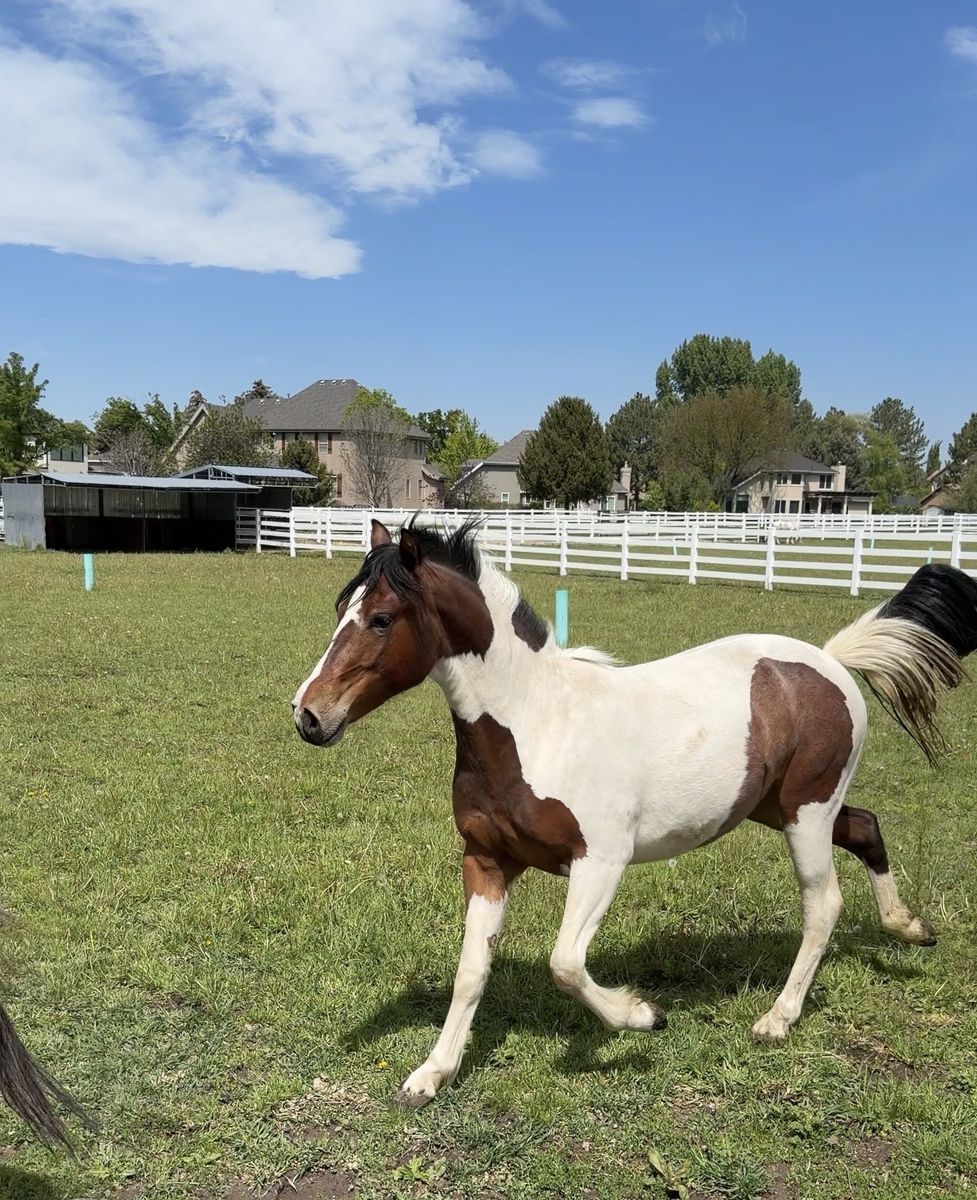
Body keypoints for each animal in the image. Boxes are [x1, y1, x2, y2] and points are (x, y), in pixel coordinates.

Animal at [292, 518, 977, 1107]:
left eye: (381, 618)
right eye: (338, 610)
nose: (308, 715)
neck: (538, 724)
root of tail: (832, 659)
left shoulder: (600, 861)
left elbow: (565, 964)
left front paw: (643, 1015)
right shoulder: (486, 861)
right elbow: (470, 973)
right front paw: (432, 1074)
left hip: (806, 813)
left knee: (823, 903)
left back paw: (778, 1018)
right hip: (778, 806)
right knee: (866, 829)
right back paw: (909, 927)